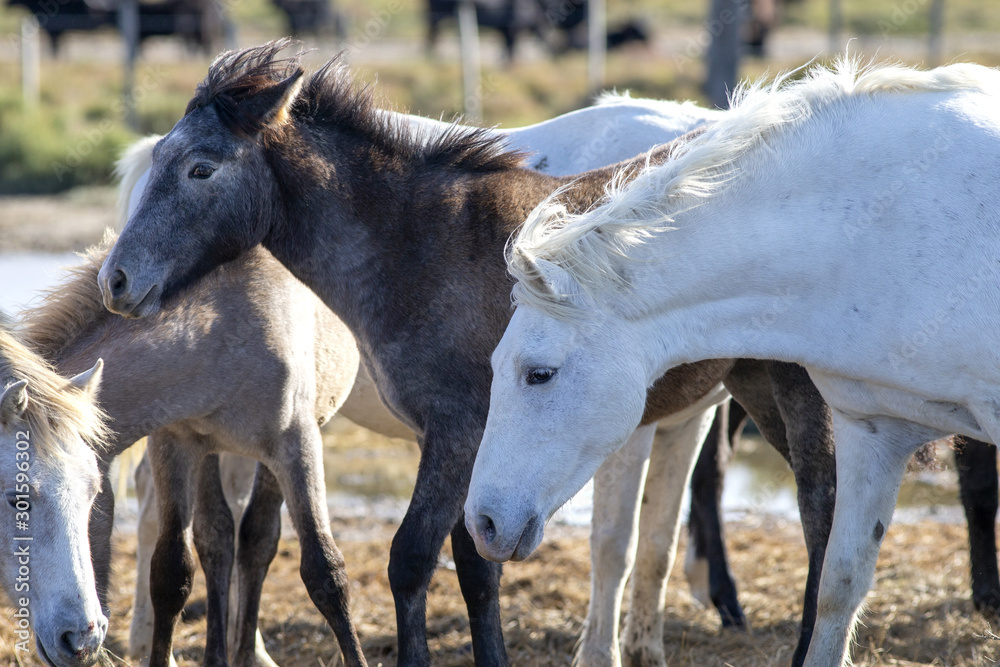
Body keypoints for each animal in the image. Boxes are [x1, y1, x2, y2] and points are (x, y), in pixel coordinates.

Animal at [96, 40, 886, 666]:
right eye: (163, 160)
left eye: (200, 168)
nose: (116, 280)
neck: (422, 243)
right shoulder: (462, 440)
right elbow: (477, 562)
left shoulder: (457, 432)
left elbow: (414, 560)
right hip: (756, 385)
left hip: (800, 391)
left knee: (822, 512)